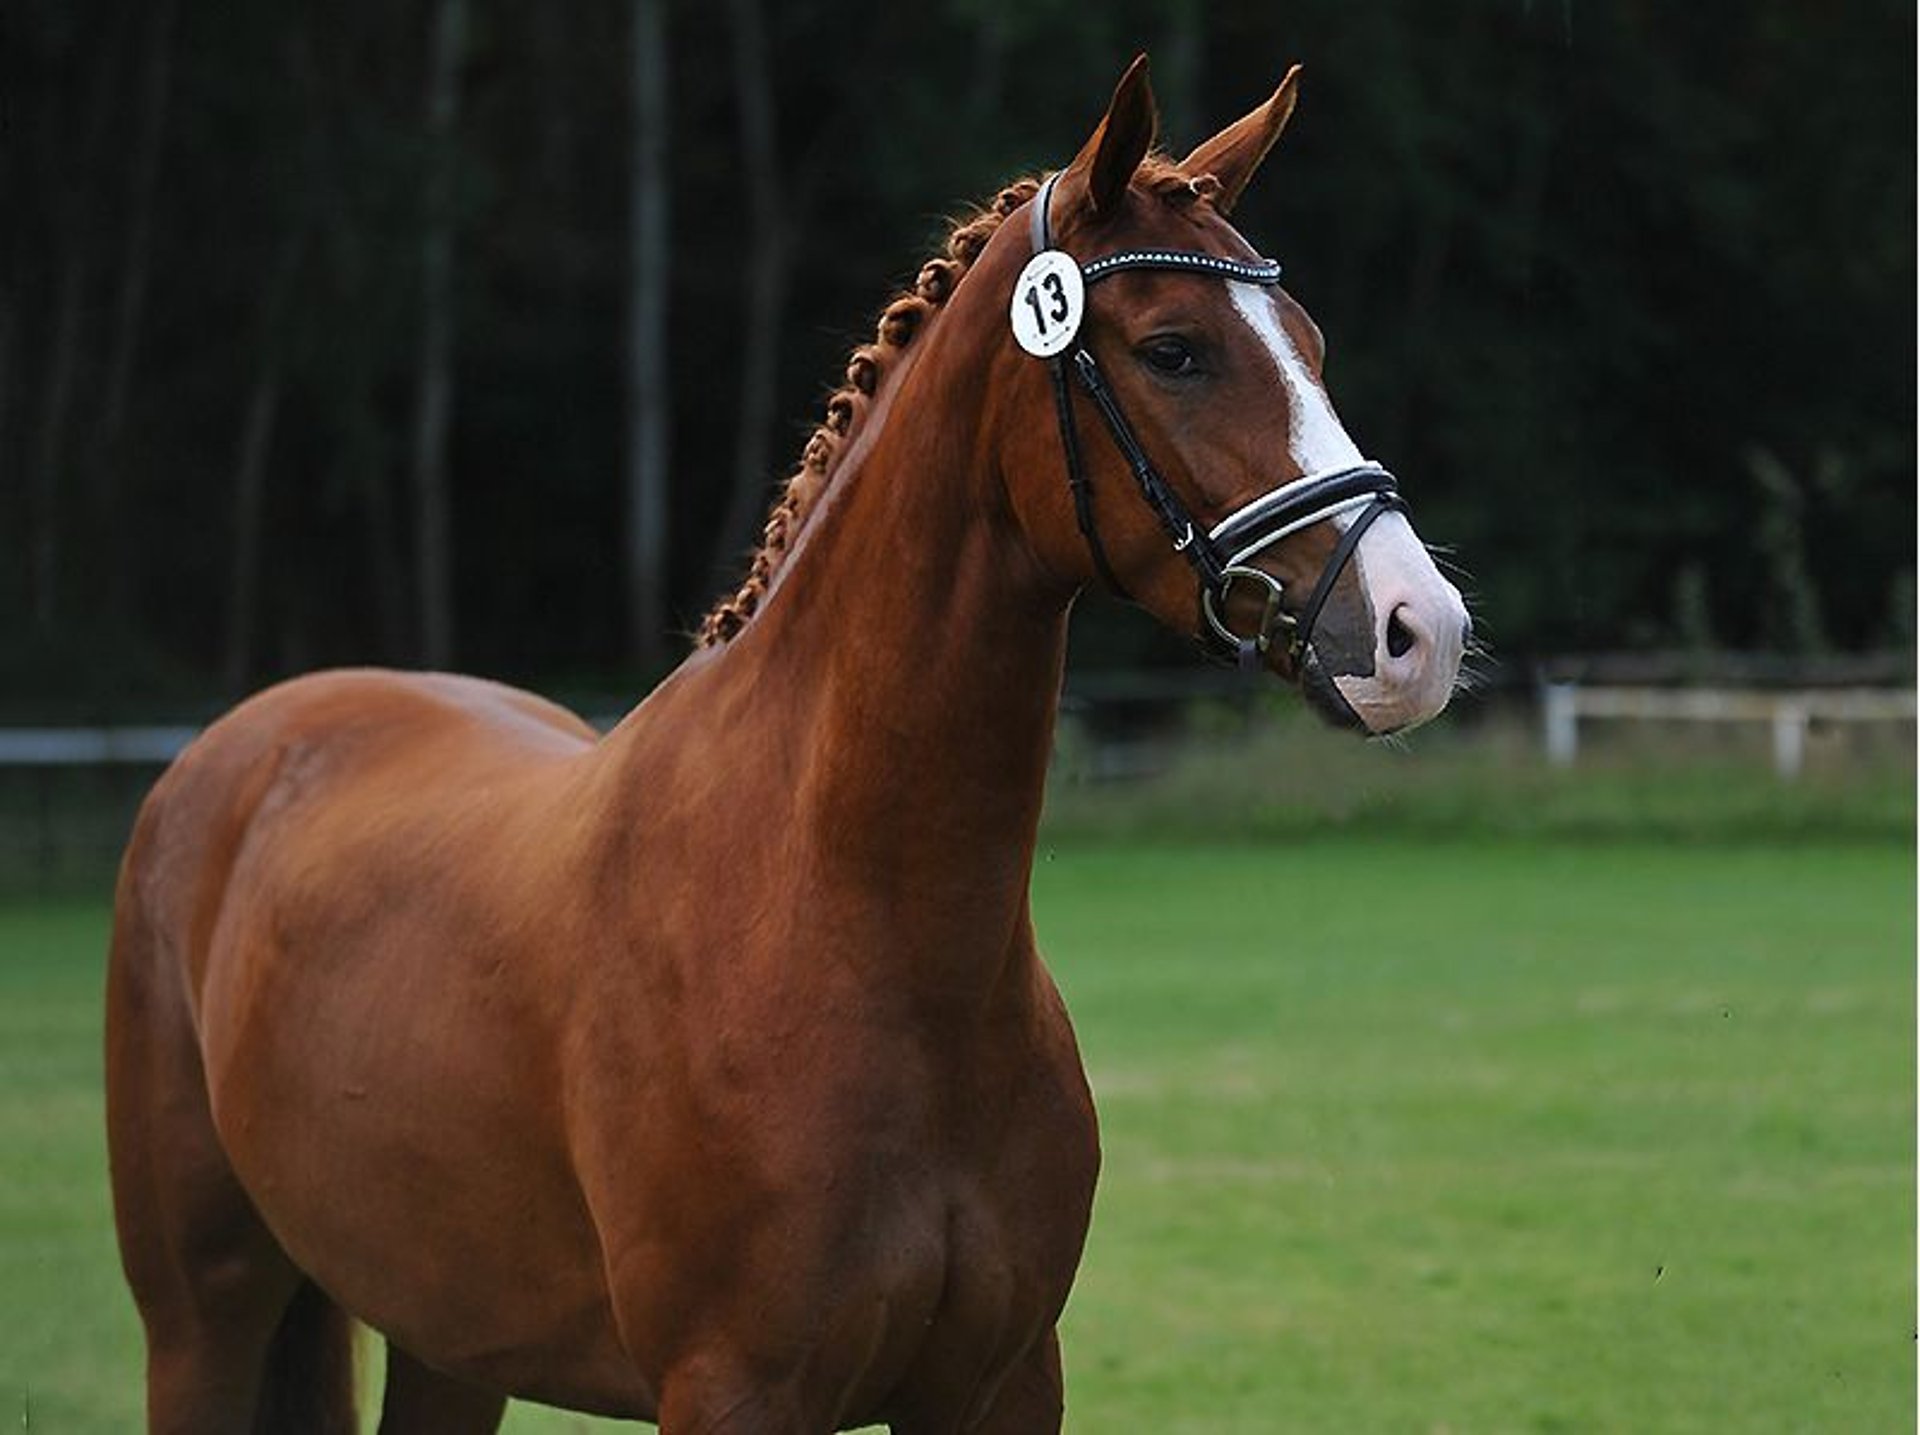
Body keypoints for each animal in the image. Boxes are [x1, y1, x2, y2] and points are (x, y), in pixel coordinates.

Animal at [112, 58, 1466, 1435]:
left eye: (1311, 348)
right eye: (1173, 351)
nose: (1418, 630)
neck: (849, 922)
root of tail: (250, 745)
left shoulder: (1002, 1380)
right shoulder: (733, 1389)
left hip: (449, 1336)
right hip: (201, 1320)